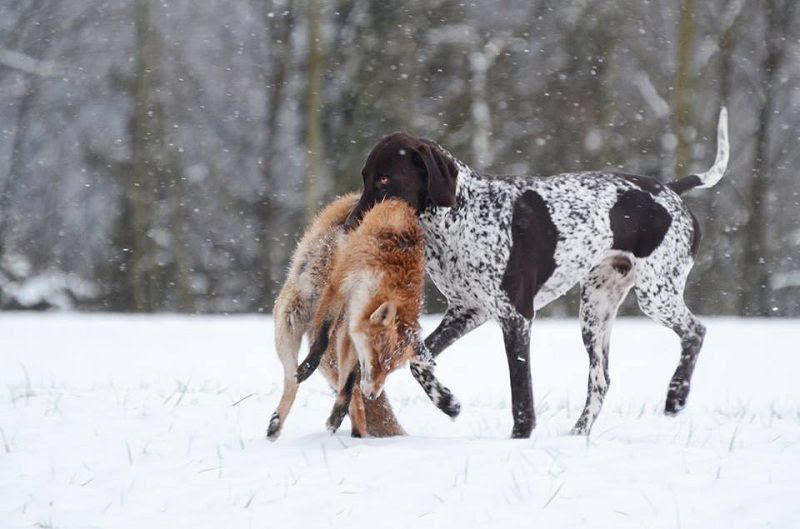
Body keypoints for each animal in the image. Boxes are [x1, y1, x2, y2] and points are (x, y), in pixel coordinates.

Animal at [292, 197, 432, 434]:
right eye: (379, 359)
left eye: (391, 369)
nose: (374, 395)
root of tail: (399, 203)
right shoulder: (338, 289)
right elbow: (322, 338)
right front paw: (307, 367)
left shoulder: (353, 328)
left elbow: (349, 381)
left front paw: (337, 415)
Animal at [346, 109, 728, 436]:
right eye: (364, 177)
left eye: (385, 178)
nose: (350, 226)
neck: (460, 218)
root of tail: (669, 190)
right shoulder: (468, 312)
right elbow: (419, 362)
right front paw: (448, 402)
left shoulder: (516, 318)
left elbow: (521, 395)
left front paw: (520, 437)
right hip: (595, 312)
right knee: (600, 380)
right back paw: (578, 434)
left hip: (655, 296)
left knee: (696, 331)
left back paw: (676, 394)